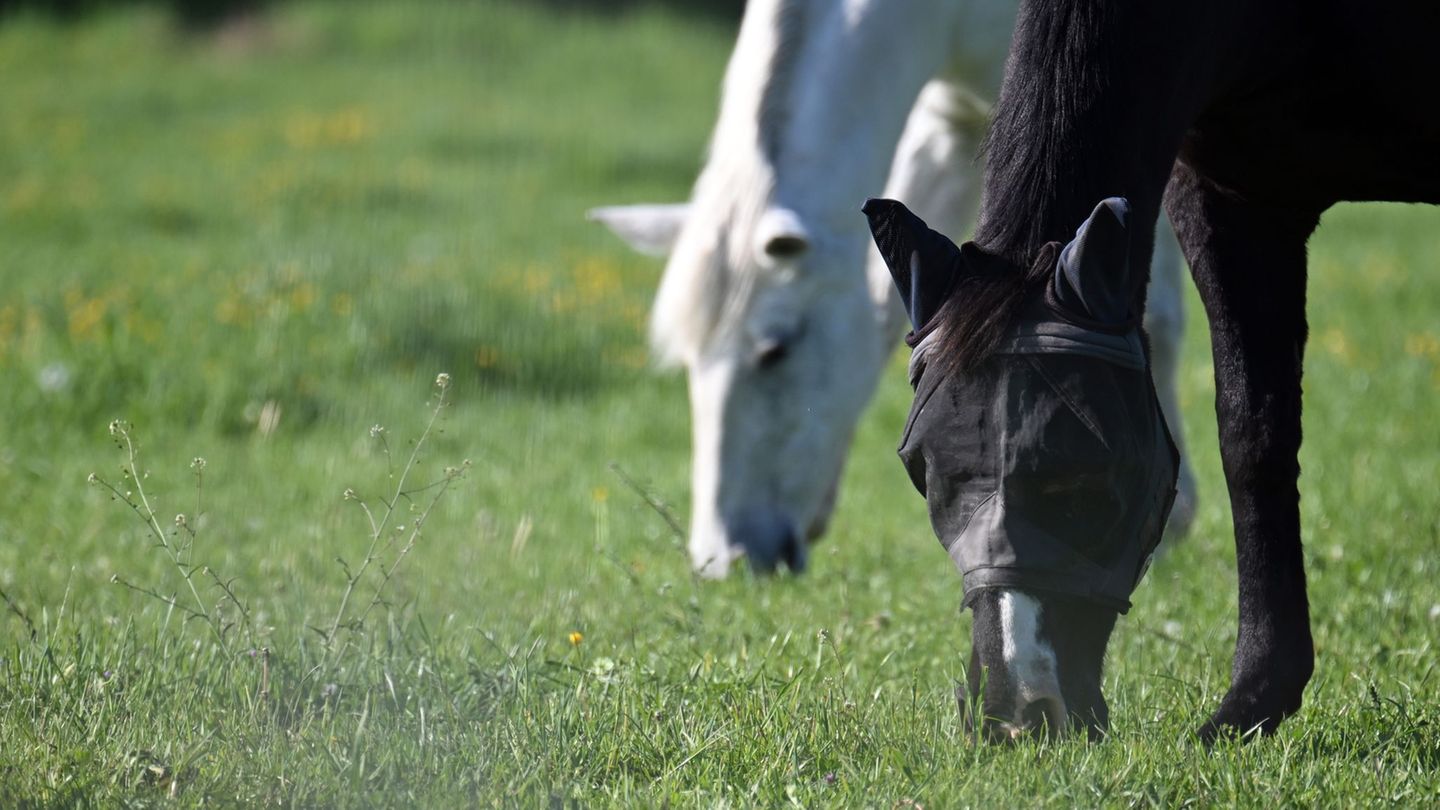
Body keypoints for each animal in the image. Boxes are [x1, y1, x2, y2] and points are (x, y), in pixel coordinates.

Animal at [872, 0, 1439, 741]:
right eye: (923, 471)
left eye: (1092, 477)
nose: (1020, 715)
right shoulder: (1230, 198)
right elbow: (1252, 435)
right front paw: (1254, 699)